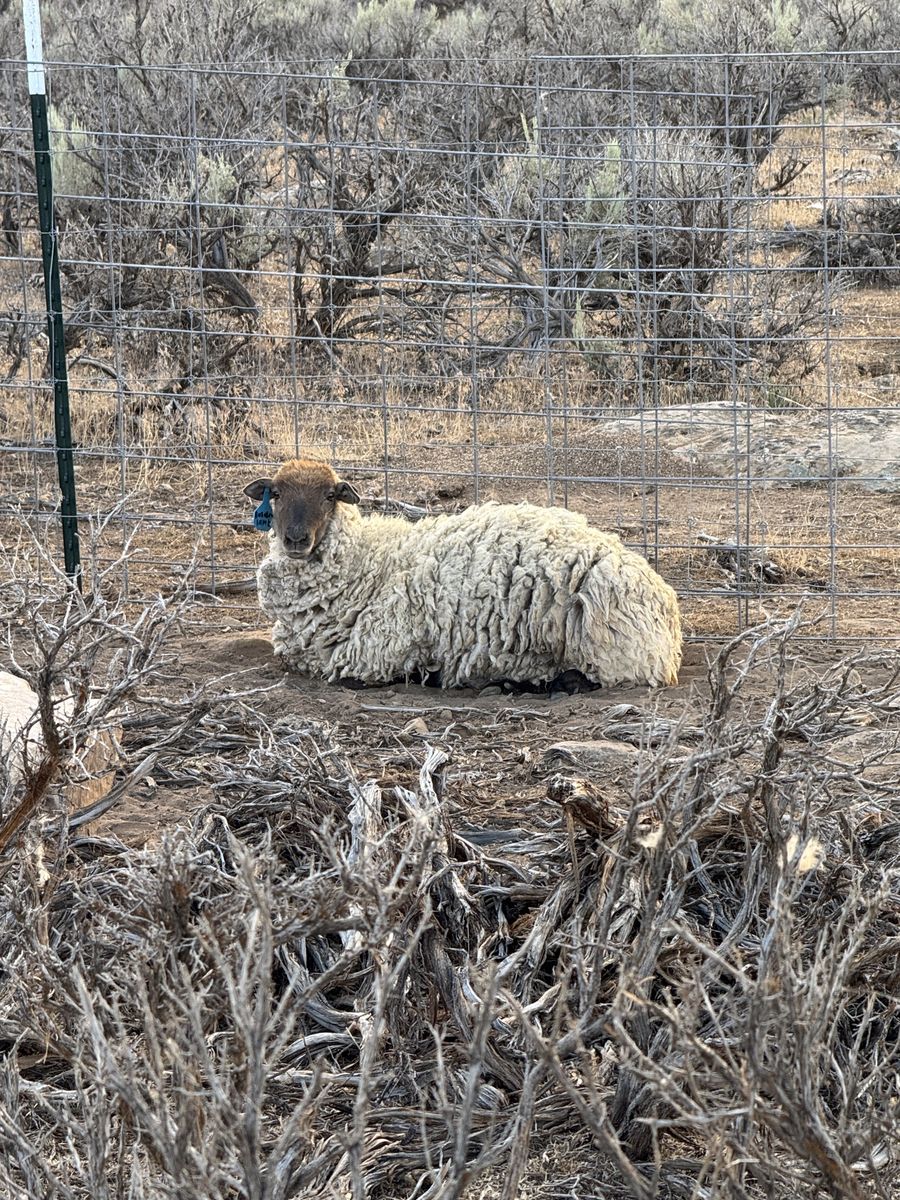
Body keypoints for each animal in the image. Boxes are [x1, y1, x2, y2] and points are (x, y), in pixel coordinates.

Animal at [244, 458, 682, 690]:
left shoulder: (374, 653)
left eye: (330, 496)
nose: (295, 539)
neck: (367, 561)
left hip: (614, 653)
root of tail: (665, 601)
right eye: (276, 494)